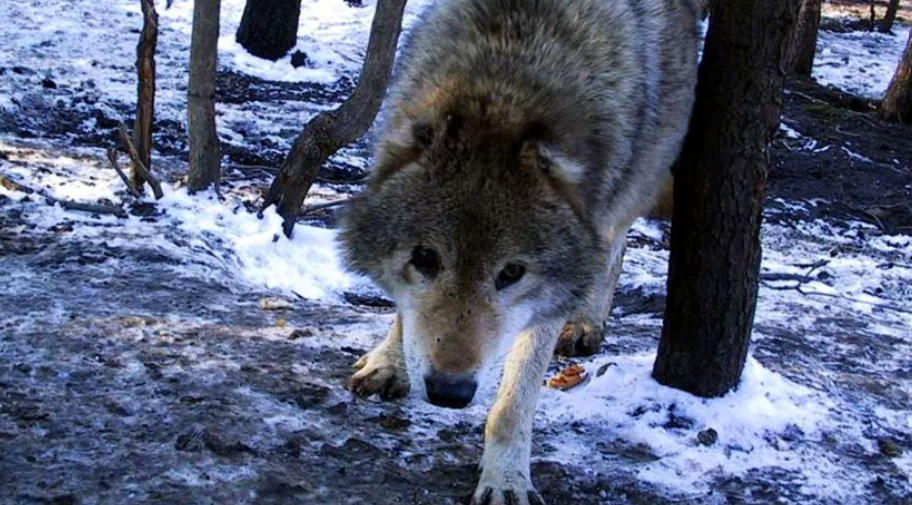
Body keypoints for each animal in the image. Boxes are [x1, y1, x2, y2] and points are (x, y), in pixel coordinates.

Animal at [338, 0, 700, 500]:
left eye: (511, 273)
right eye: (425, 258)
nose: (449, 392)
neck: (504, 84)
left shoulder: (549, 293)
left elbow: (514, 404)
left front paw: (505, 477)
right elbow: (405, 313)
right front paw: (390, 362)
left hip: (631, 187)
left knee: (612, 250)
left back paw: (586, 321)